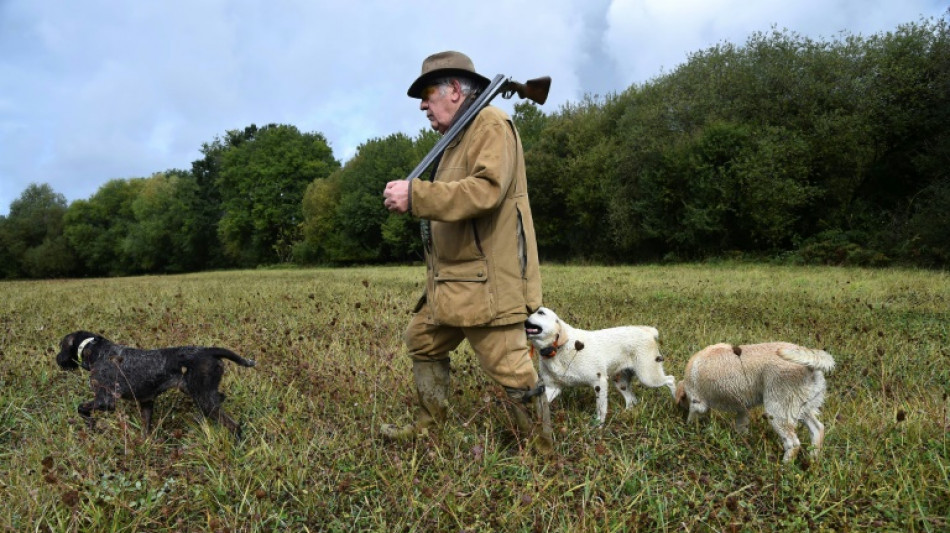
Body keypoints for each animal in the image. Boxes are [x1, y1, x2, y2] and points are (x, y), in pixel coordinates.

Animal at [56, 328, 256, 436]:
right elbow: (146, 430)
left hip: (204, 399)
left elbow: (82, 408)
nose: (57, 359)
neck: (96, 350)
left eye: (61, 346)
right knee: (221, 399)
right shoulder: (146, 402)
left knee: (235, 426)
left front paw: (90, 424)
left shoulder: (105, 401)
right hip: (202, 394)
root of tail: (209, 350)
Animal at [528, 308, 676, 424]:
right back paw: (626, 414)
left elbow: (601, 408)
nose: (525, 318)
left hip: (648, 377)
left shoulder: (599, 382)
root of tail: (647, 331)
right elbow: (540, 405)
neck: (557, 349)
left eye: (540, 312)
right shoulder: (552, 388)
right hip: (620, 382)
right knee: (631, 400)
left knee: (671, 379)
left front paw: (598, 426)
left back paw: (676, 400)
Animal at [672, 340, 836, 462]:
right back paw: (812, 461)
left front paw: (688, 431)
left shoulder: (697, 404)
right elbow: (741, 428)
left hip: (777, 412)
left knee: (793, 443)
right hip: (800, 409)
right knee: (818, 429)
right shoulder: (742, 410)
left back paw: (785, 468)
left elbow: (691, 418)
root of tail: (811, 367)